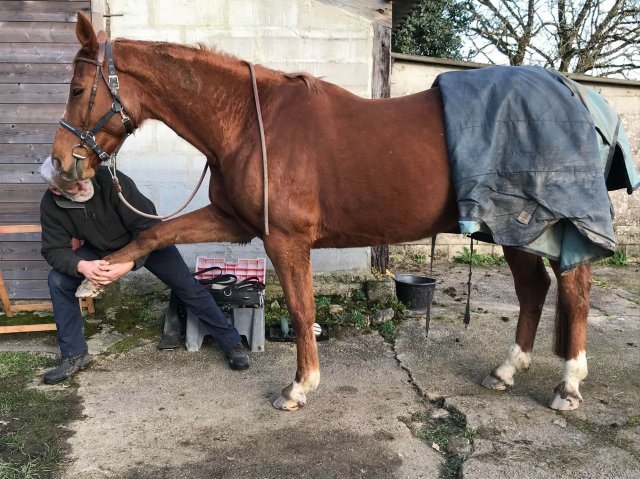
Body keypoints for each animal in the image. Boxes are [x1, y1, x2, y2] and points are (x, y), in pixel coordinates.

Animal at [51, 12, 592, 412]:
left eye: (77, 90)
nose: (60, 163)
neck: (250, 121)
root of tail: (574, 95)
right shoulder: (236, 222)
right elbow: (153, 234)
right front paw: (95, 279)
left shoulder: (285, 238)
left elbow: (300, 307)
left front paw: (299, 387)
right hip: (513, 230)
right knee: (533, 289)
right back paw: (506, 372)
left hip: (543, 224)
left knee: (573, 292)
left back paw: (568, 386)